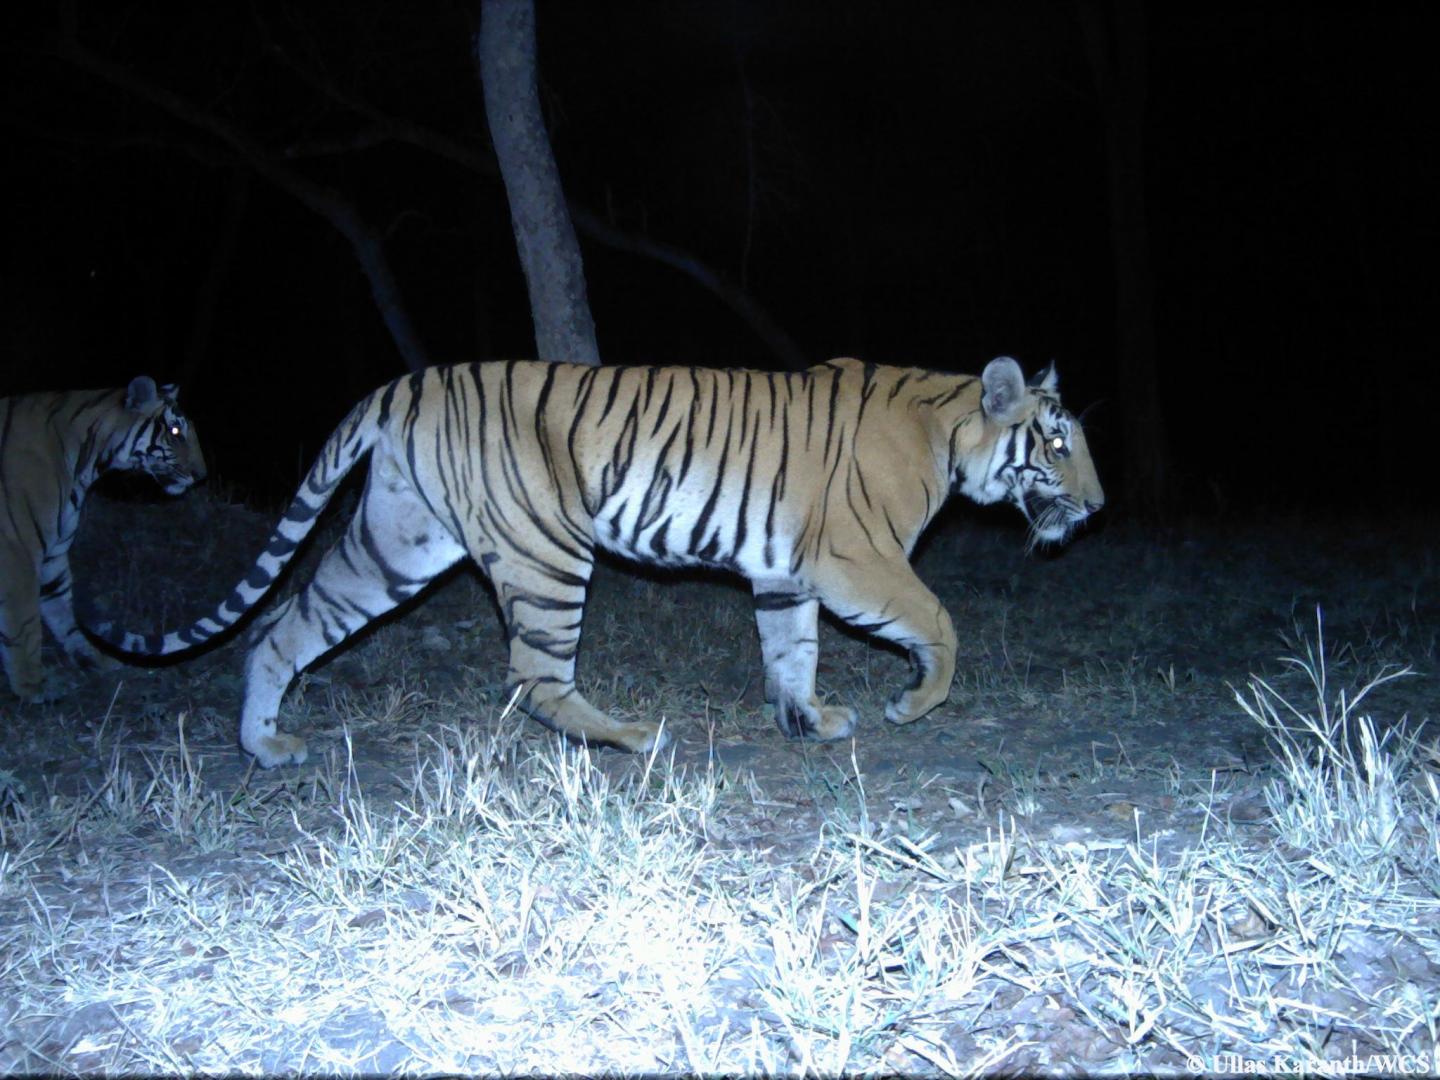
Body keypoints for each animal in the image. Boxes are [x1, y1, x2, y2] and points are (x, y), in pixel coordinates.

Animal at [0, 376, 206, 702]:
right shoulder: (17, 551)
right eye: (175, 431)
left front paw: (95, 658)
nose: (202, 475)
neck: (87, 462)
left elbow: (64, 611)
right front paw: (33, 687)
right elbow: (24, 624)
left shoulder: (53, 556)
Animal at [89, 357, 1102, 768]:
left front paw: (806, 720)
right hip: (545, 550)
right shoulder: (857, 559)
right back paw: (629, 736)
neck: (950, 428)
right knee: (534, 676)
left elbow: (791, 651)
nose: (1095, 507)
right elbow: (940, 623)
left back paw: (263, 744)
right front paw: (912, 704)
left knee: (279, 625)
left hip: (395, 545)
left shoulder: (786, 571)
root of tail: (402, 383)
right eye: (1056, 443)